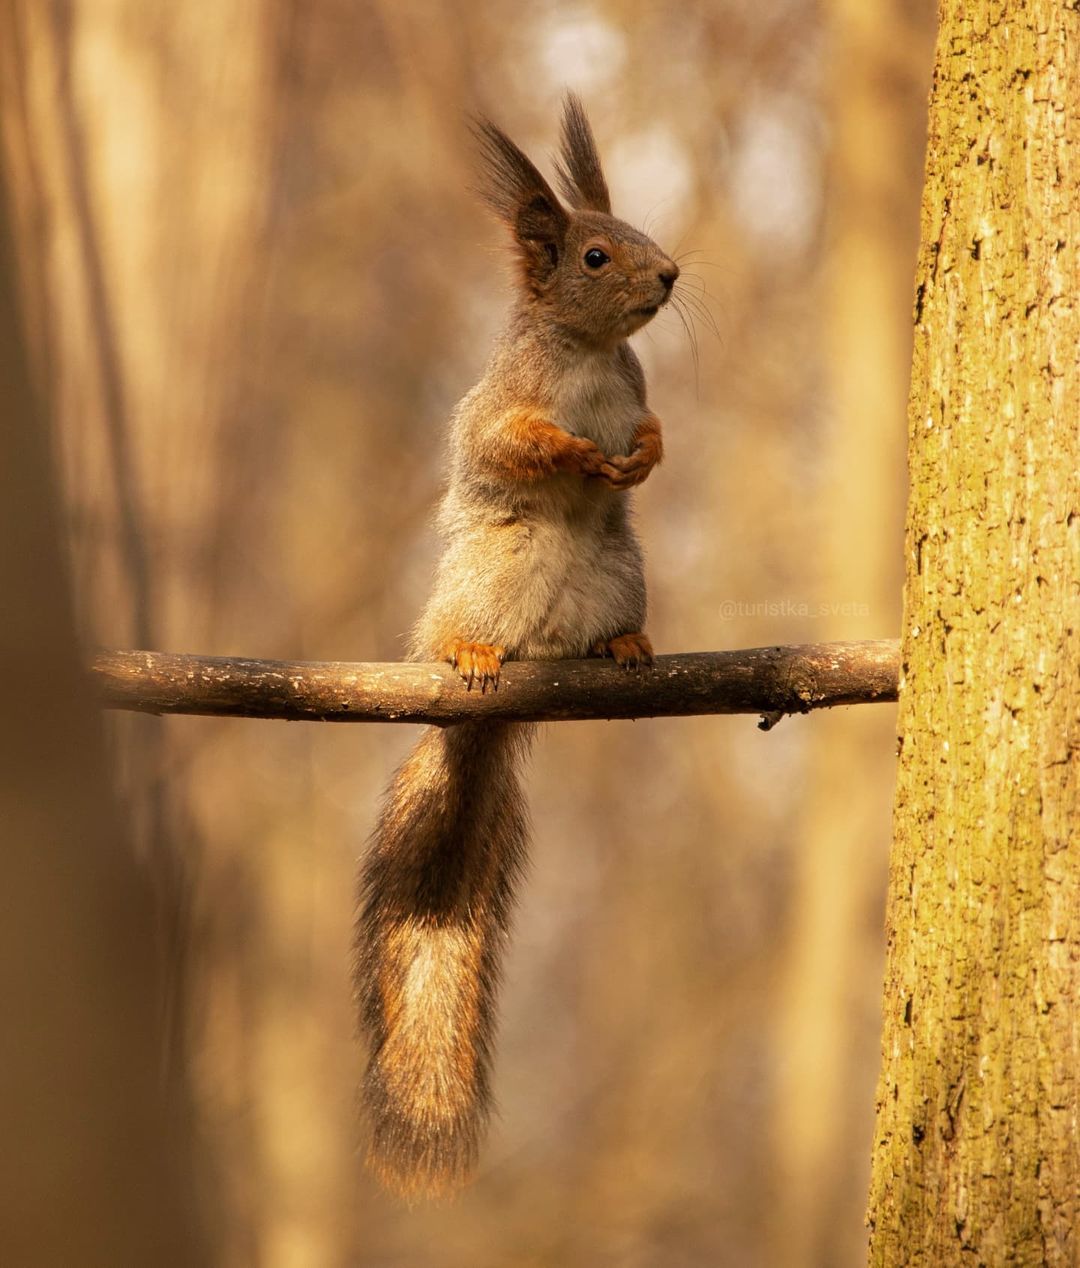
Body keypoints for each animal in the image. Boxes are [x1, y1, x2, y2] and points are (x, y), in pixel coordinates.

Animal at [354, 91, 679, 1196]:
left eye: (636, 235)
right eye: (594, 253)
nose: (671, 274)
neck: (584, 356)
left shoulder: (636, 387)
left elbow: (655, 432)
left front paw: (645, 451)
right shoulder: (499, 405)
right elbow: (509, 441)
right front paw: (571, 449)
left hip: (619, 572)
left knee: (613, 617)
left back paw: (626, 646)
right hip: (482, 579)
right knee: (465, 630)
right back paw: (469, 654)